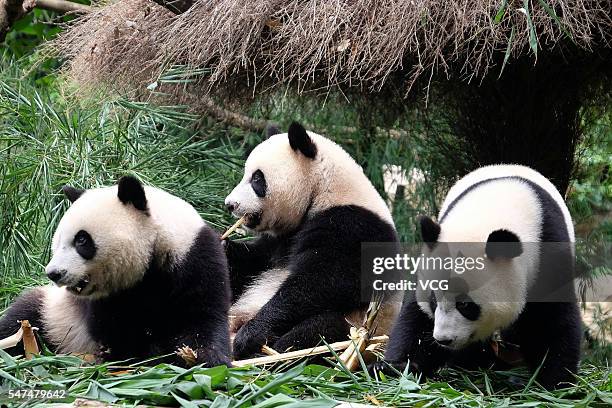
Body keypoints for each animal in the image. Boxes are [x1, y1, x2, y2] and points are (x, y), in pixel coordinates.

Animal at [0, 175, 230, 366]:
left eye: (81, 240)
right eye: (57, 242)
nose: (54, 273)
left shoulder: (194, 257)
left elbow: (202, 316)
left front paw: (203, 357)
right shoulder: (104, 301)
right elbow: (116, 334)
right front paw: (147, 356)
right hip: (52, 313)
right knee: (20, 321)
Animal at [222, 122, 400, 358]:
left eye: (257, 178)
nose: (230, 204)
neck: (324, 189)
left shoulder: (354, 228)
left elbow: (322, 282)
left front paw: (252, 333)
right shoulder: (281, 239)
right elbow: (255, 261)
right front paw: (223, 246)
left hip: (361, 326)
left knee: (322, 329)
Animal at [378, 165, 584, 388]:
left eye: (465, 304)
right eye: (433, 301)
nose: (443, 339)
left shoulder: (547, 251)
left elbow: (550, 321)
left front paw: (554, 382)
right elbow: (416, 319)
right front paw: (395, 367)